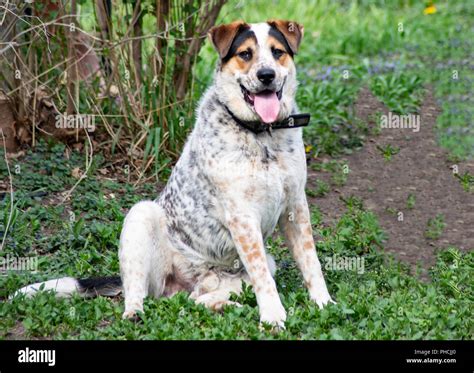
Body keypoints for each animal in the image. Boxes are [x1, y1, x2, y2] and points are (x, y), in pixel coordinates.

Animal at [14, 19, 334, 328]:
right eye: (245, 54)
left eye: (277, 52)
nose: (267, 75)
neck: (262, 135)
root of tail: (193, 278)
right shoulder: (242, 218)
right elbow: (264, 280)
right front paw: (273, 316)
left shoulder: (295, 207)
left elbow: (311, 262)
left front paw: (324, 304)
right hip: (141, 219)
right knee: (137, 292)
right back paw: (135, 313)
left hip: (254, 266)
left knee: (197, 299)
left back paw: (226, 306)